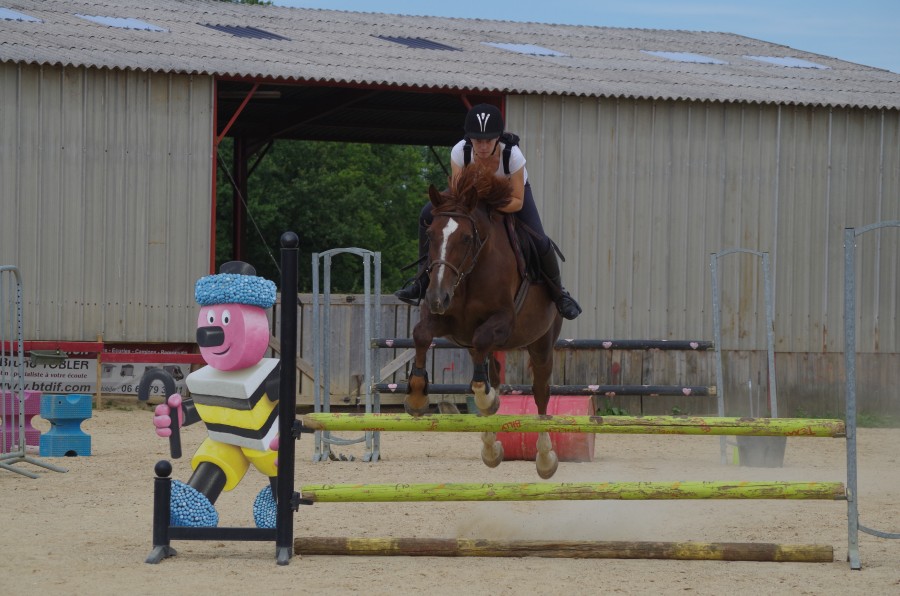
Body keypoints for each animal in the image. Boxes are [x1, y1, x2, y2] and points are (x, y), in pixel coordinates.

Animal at [405, 159, 564, 479]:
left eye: (466, 238)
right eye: (430, 236)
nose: (437, 297)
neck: (470, 273)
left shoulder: (503, 321)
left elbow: (480, 364)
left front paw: (487, 400)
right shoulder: (445, 320)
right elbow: (421, 335)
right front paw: (416, 397)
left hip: (541, 343)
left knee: (541, 393)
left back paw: (545, 459)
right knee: (492, 373)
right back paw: (491, 449)